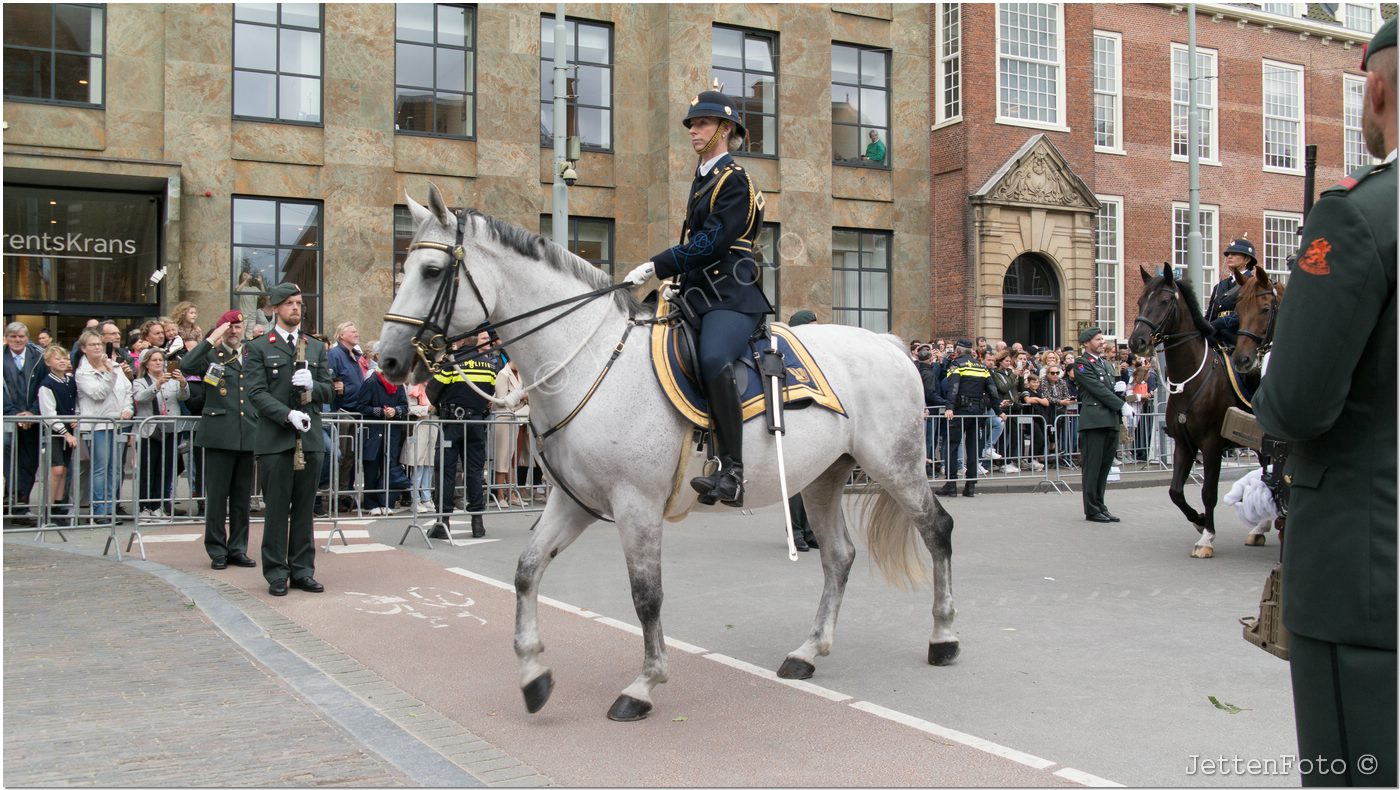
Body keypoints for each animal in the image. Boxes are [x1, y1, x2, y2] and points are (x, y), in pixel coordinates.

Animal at [378, 184, 957, 722]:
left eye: (431, 270)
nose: (388, 359)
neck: (587, 360)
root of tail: (889, 344)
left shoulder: (635, 504)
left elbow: (646, 594)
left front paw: (644, 684)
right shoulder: (572, 502)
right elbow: (525, 571)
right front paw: (534, 674)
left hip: (895, 465)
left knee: (937, 530)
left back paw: (943, 637)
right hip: (822, 477)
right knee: (838, 557)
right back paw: (808, 651)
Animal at [1131, 268, 1254, 557]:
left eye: (1164, 301)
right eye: (1140, 301)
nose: (1136, 341)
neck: (1192, 379)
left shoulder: (1210, 444)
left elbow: (1208, 491)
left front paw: (1207, 537)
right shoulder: (1183, 443)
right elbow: (1175, 491)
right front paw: (1199, 520)